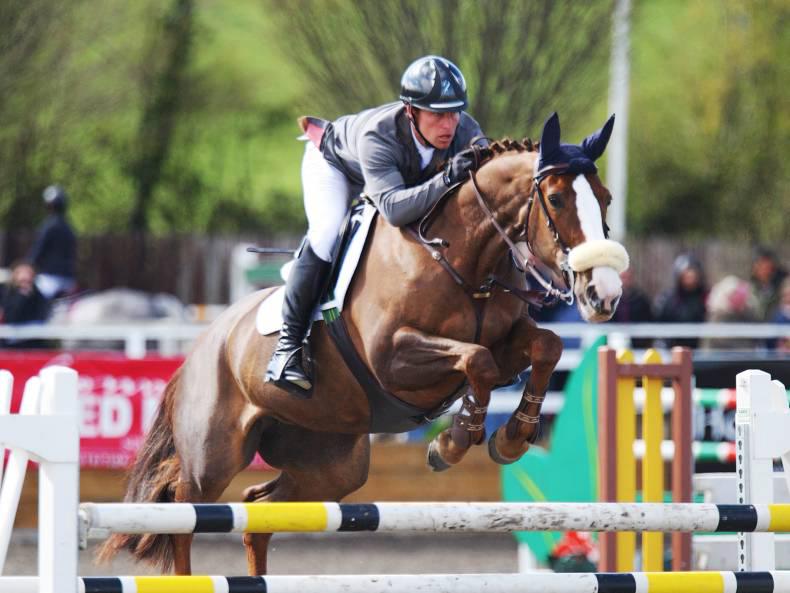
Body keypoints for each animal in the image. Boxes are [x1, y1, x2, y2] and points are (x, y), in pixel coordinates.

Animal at [98, 112, 629, 575]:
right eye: (556, 200)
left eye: (604, 197)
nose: (603, 294)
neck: (461, 261)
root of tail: (201, 346)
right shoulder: (395, 359)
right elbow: (475, 360)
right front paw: (453, 442)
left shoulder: (507, 344)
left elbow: (545, 347)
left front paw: (512, 436)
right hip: (213, 458)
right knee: (181, 514)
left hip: (331, 464)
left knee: (258, 512)